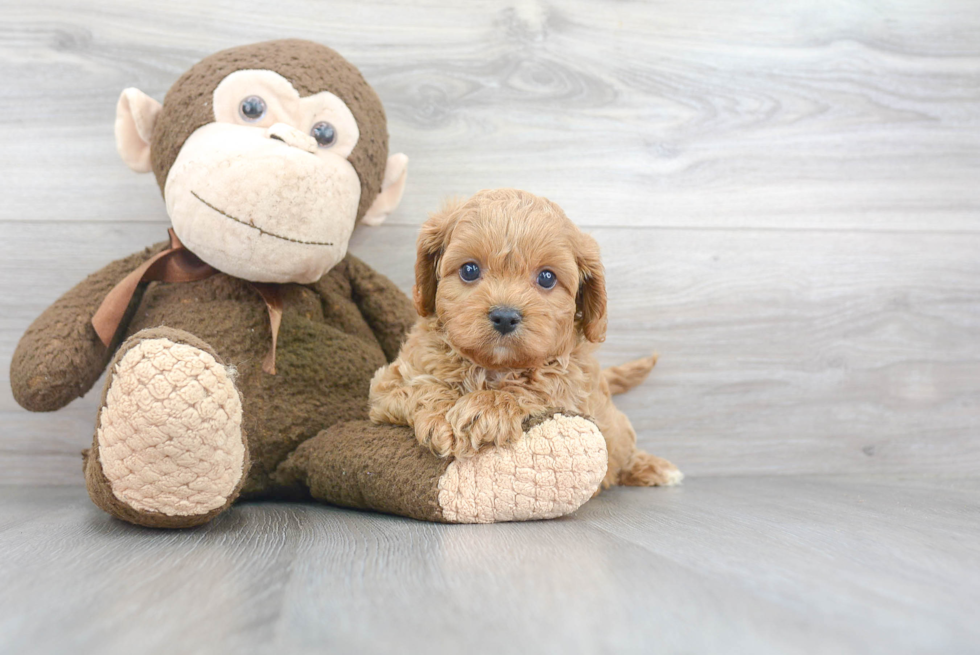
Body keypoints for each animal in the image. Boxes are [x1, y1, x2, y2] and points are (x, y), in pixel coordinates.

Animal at [368, 187, 680, 490]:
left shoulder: (572, 388)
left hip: (615, 427)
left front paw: (488, 405)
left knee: (622, 448)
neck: (494, 367)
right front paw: (442, 416)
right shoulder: (389, 382)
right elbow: (420, 387)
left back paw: (652, 467)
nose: (505, 316)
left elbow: (537, 388)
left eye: (546, 278)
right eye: (469, 270)